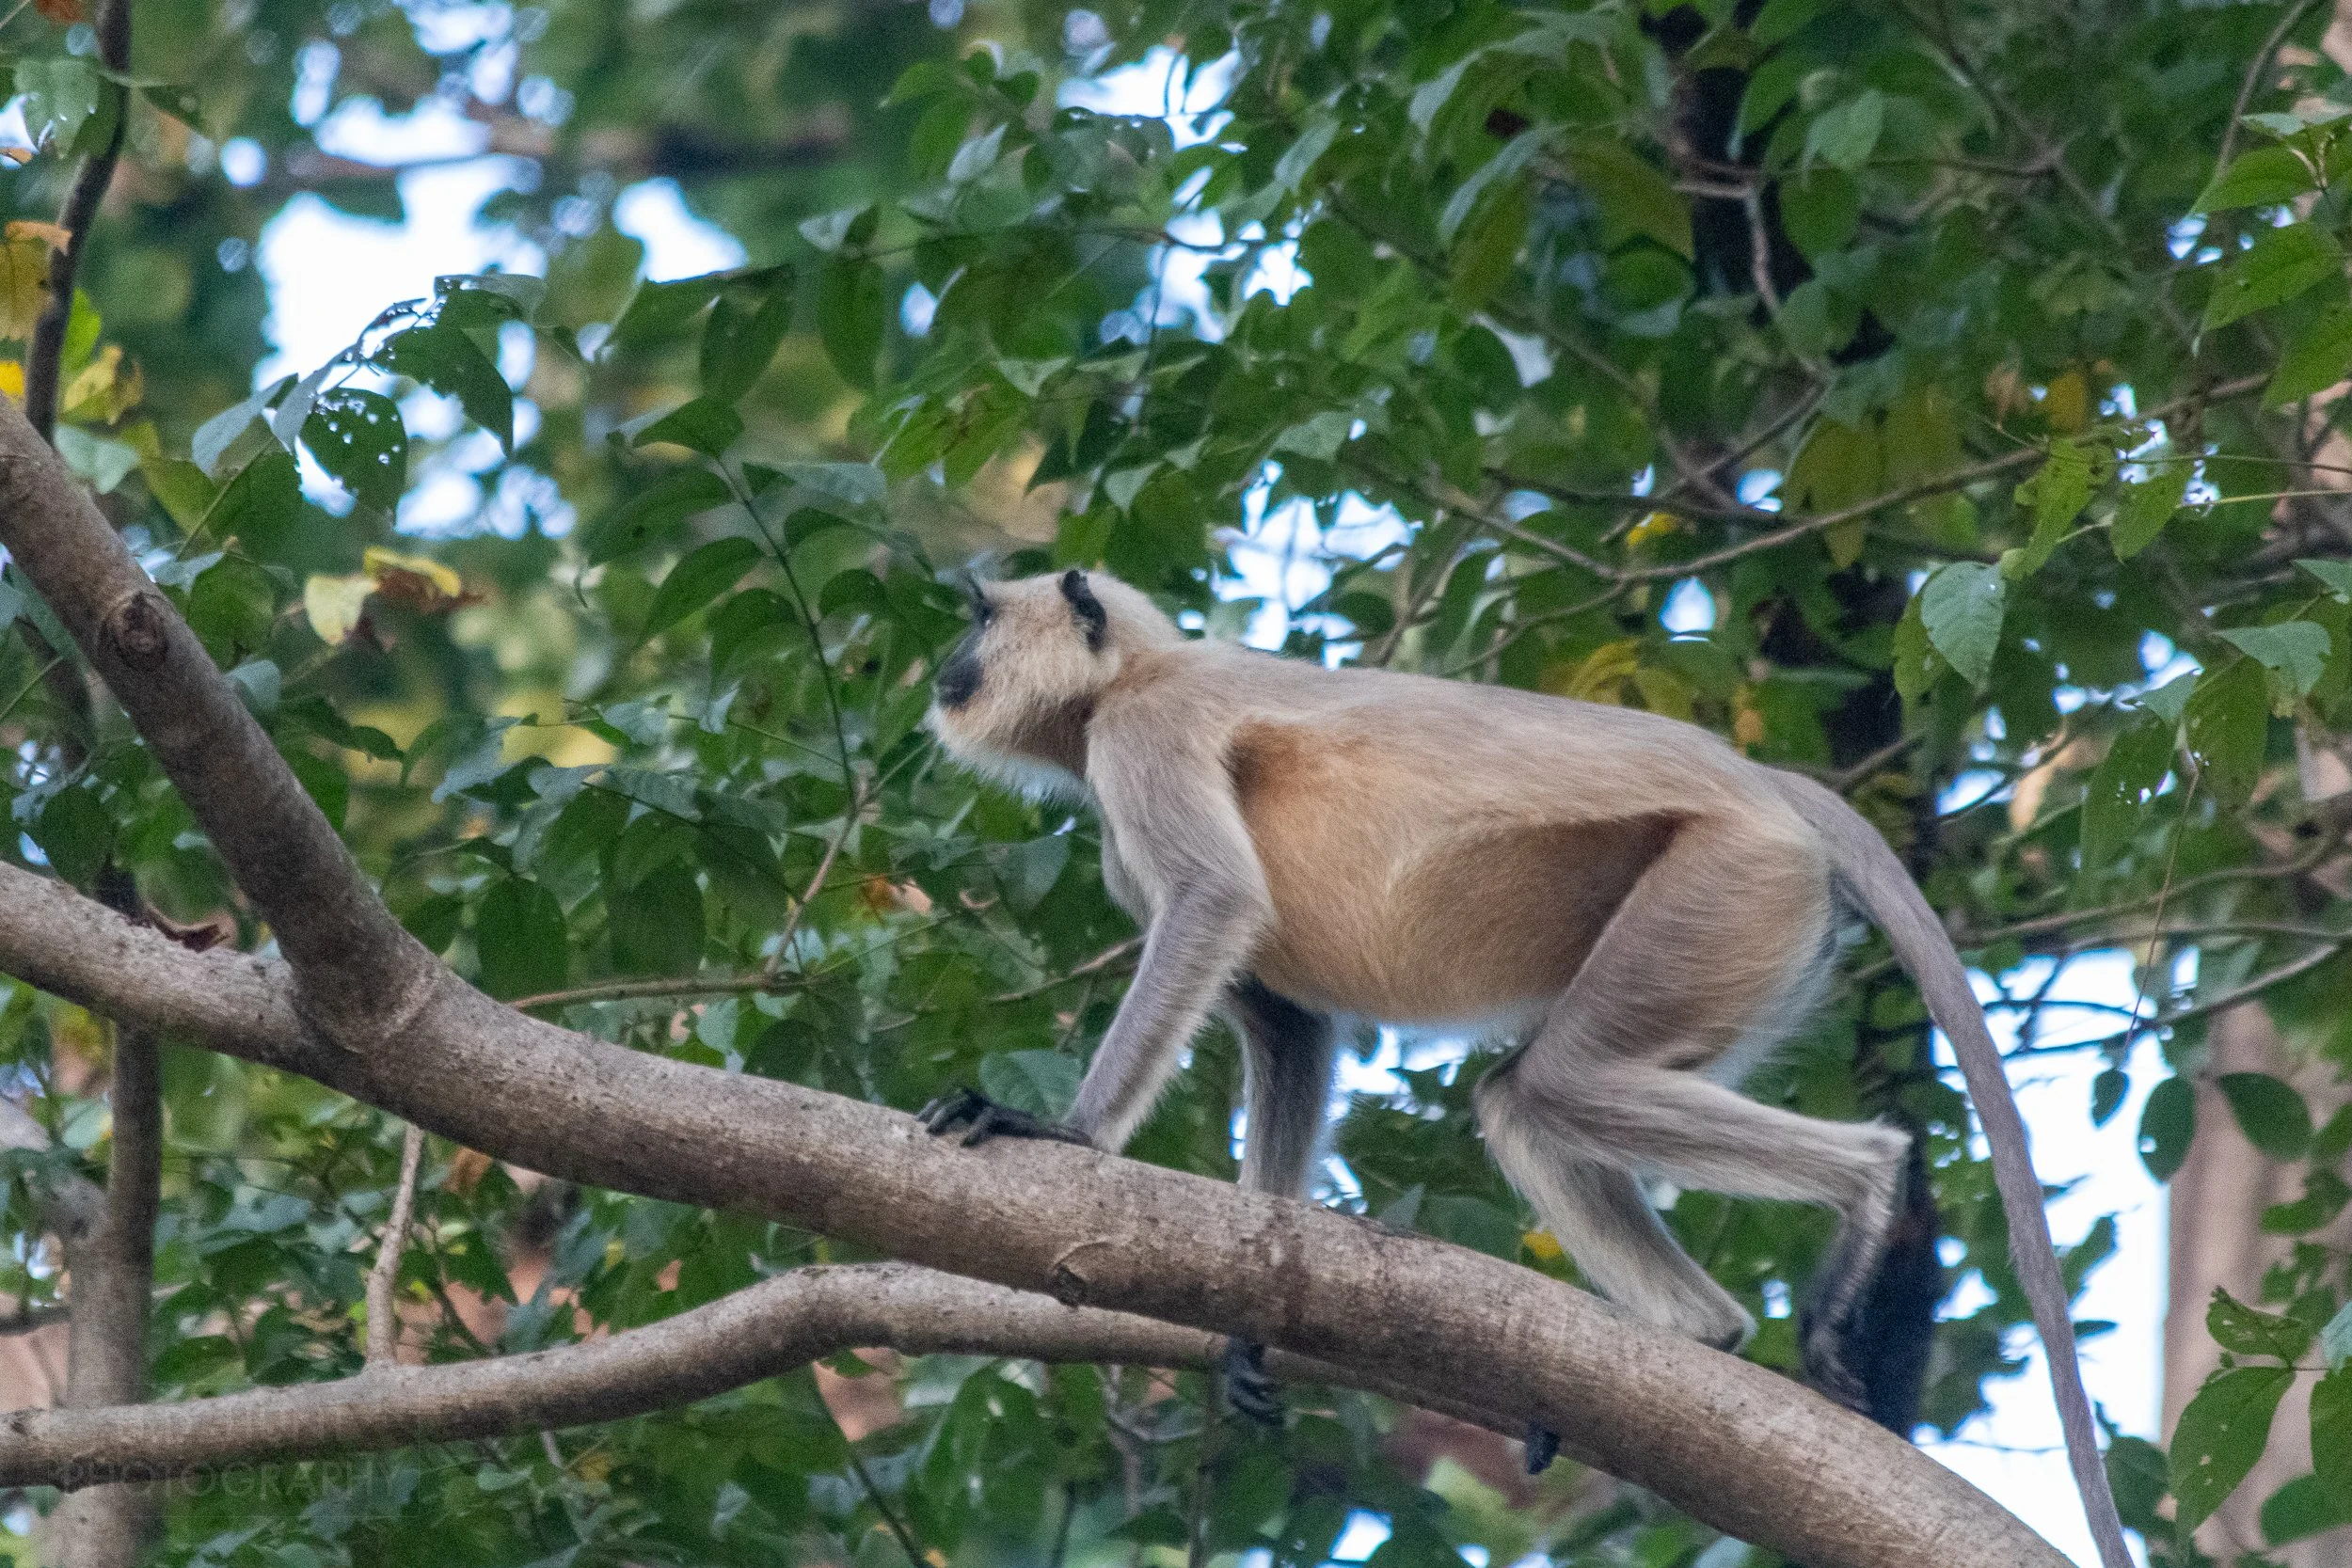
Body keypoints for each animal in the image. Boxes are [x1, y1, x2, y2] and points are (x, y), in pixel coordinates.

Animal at [918, 567, 2123, 1557]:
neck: (1136, 670)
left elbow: (1213, 902)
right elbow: (1288, 1025)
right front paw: (1249, 1328)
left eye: (979, 617)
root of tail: (1765, 782)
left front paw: (1063, 1129)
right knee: (1525, 1100)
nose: (943, 666)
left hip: (1724, 883)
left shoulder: (1145, 734)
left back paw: (1869, 1188)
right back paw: (1700, 1338)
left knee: (1558, 1086)